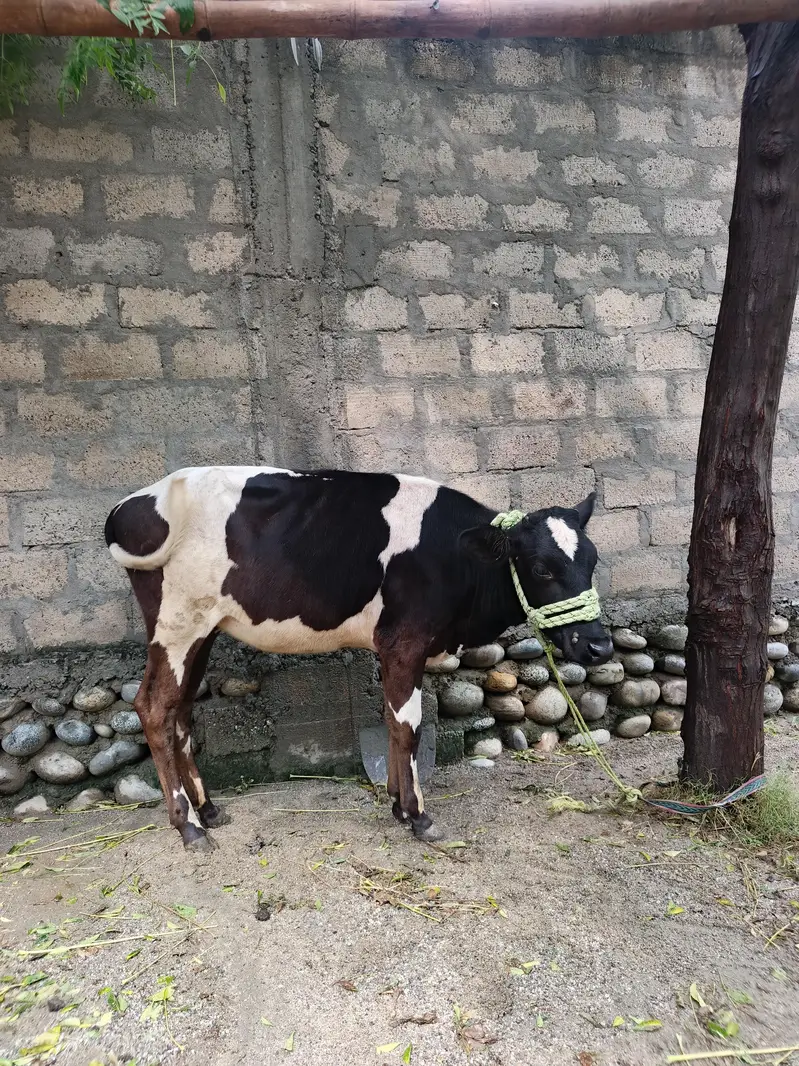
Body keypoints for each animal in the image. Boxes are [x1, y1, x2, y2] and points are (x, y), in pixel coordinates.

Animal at [105, 466, 612, 851]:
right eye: (541, 568)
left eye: (592, 560)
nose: (599, 646)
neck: (455, 557)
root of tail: (131, 502)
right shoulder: (404, 640)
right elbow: (407, 727)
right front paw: (418, 816)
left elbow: (391, 720)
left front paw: (397, 804)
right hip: (178, 624)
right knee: (154, 707)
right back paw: (188, 827)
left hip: (201, 630)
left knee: (181, 712)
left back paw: (208, 811)